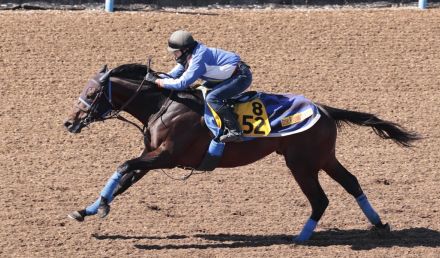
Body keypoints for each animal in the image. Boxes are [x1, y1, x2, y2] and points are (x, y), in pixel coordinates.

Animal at [62, 63, 420, 243]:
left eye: (92, 93)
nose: (69, 122)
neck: (164, 105)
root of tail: (322, 109)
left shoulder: (168, 157)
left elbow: (123, 166)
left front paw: (99, 207)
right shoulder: (152, 157)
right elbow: (123, 178)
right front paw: (87, 209)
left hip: (302, 163)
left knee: (321, 199)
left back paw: (300, 239)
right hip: (323, 158)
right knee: (351, 182)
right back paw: (379, 224)